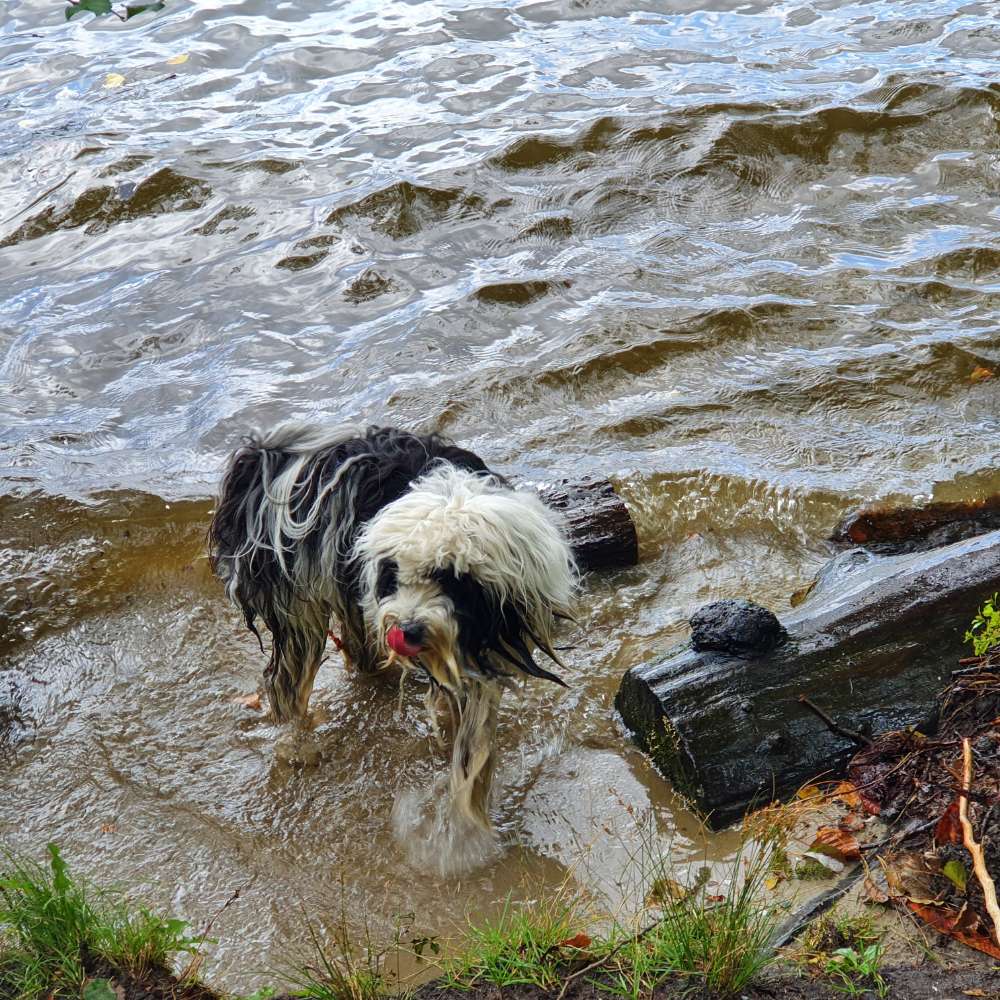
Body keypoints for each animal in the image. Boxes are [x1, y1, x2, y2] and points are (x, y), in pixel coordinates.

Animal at [207, 426, 576, 832]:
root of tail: (266, 458)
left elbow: (472, 734)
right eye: (395, 574)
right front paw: (466, 821)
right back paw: (298, 745)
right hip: (296, 604)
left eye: (447, 577)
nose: (407, 631)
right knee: (286, 681)